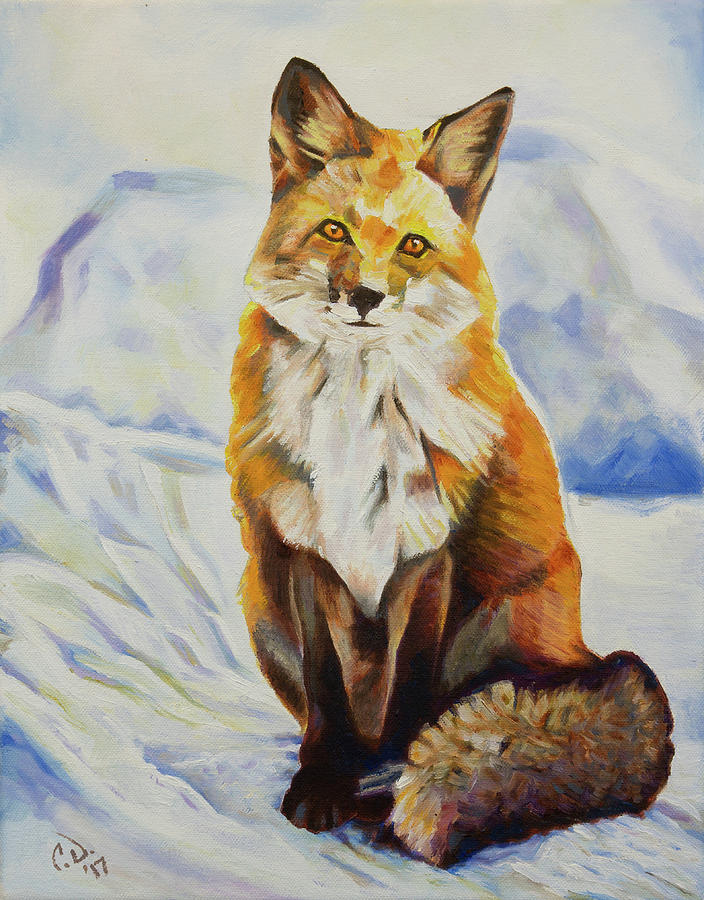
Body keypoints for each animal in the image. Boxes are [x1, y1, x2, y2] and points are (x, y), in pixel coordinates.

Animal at [226, 58, 673, 865]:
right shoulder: (304, 553)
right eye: (335, 231)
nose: (365, 296)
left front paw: (388, 781)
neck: (357, 420)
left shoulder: (431, 556)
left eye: (411, 246)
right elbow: (327, 693)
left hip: (498, 621)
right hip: (260, 601)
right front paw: (322, 785)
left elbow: (410, 691)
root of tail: (580, 650)